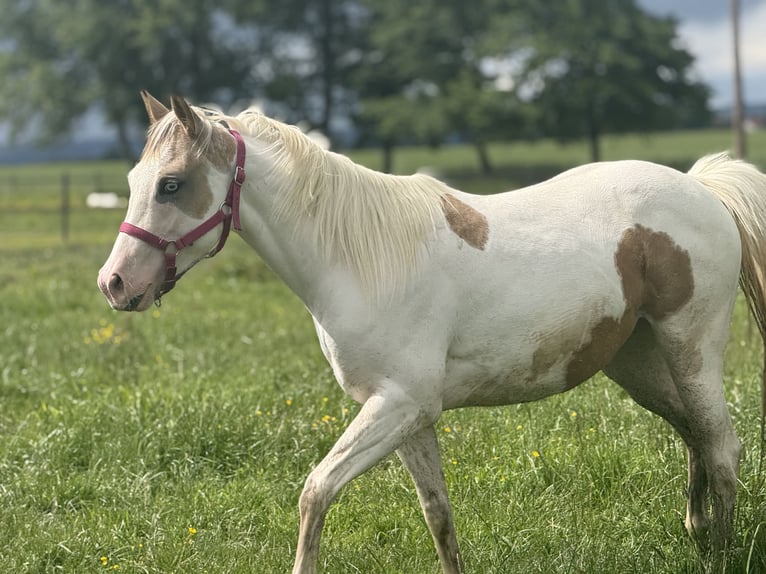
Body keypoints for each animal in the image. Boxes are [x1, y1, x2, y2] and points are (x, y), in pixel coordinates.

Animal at [98, 91, 766, 573]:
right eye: (133, 180)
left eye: (172, 183)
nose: (115, 284)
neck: (358, 259)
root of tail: (701, 187)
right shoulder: (409, 417)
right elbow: (437, 514)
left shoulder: (399, 405)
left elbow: (316, 492)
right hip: (638, 361)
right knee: (694, 436)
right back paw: (700, 535)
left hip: (691, 349)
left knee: (722, 445)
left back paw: (724, 555)